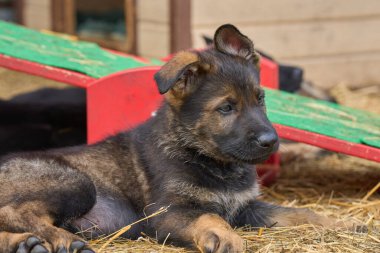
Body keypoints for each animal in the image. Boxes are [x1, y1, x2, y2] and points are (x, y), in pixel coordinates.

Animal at [0, 24, 352, 253]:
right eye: (226, 108)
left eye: (260, 99)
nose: (271, 141)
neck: (205, 156)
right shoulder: (166, 213)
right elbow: (209, 215)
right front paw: (224, 237)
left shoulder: (246, 207)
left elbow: (297, 212)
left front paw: (342, 224)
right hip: (76, 182)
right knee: (17, 213)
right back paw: (62, 239)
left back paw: (27, 244)